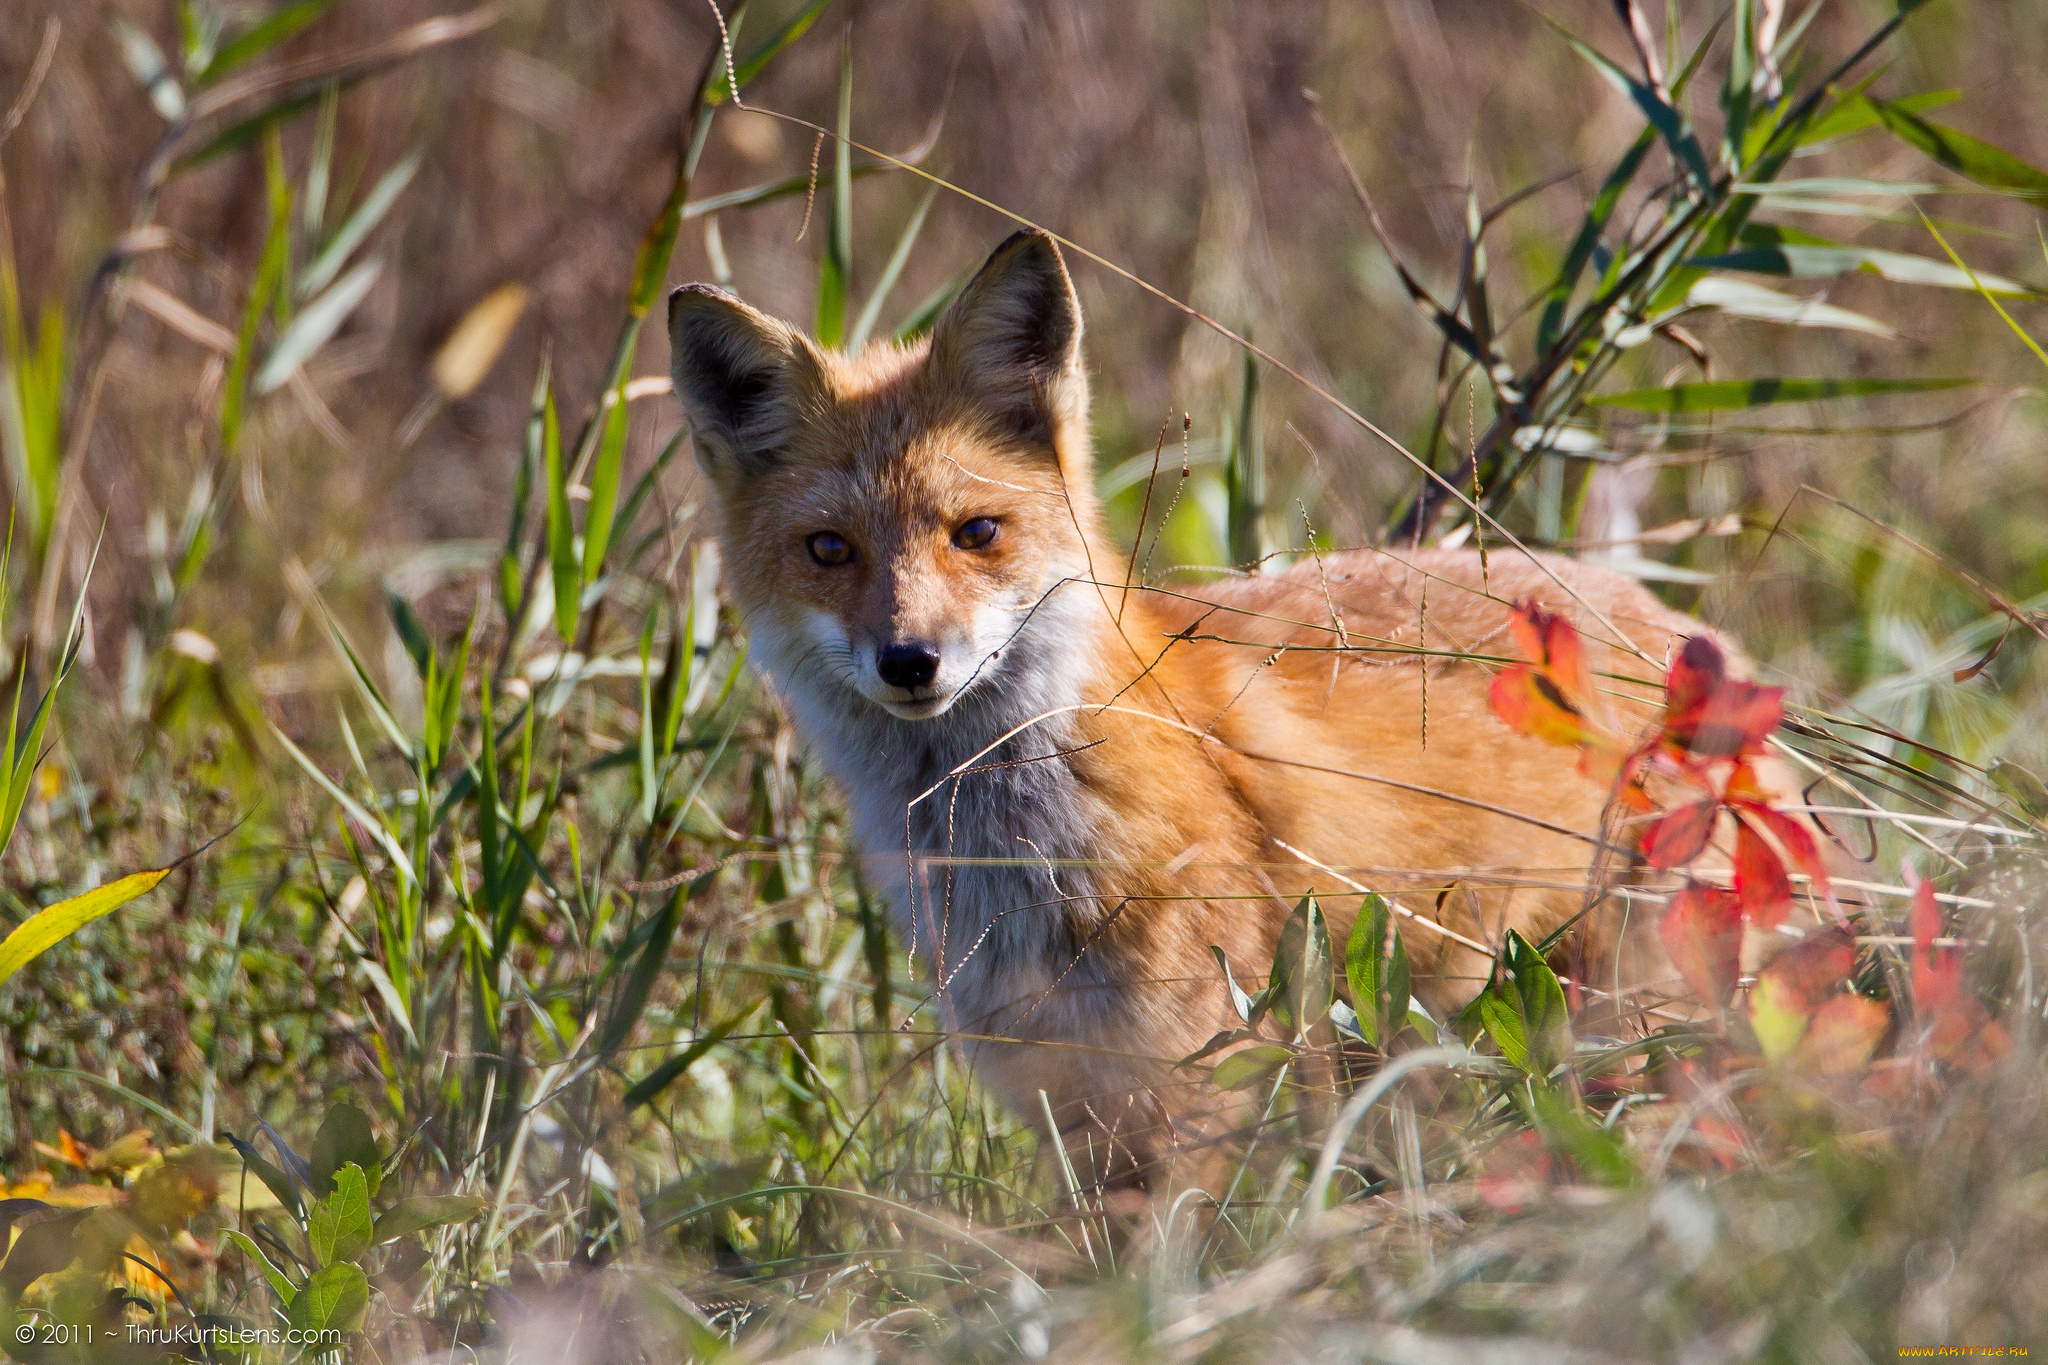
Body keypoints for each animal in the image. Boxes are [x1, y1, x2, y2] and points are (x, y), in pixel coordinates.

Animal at [671, 227, 1777, 1186]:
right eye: (828, 549)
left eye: (975, 531)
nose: (910, 660)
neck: (1011, 853)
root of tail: (1681, 625)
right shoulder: (1065, 1098)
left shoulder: (1196, 1083)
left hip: (1639, 1025)